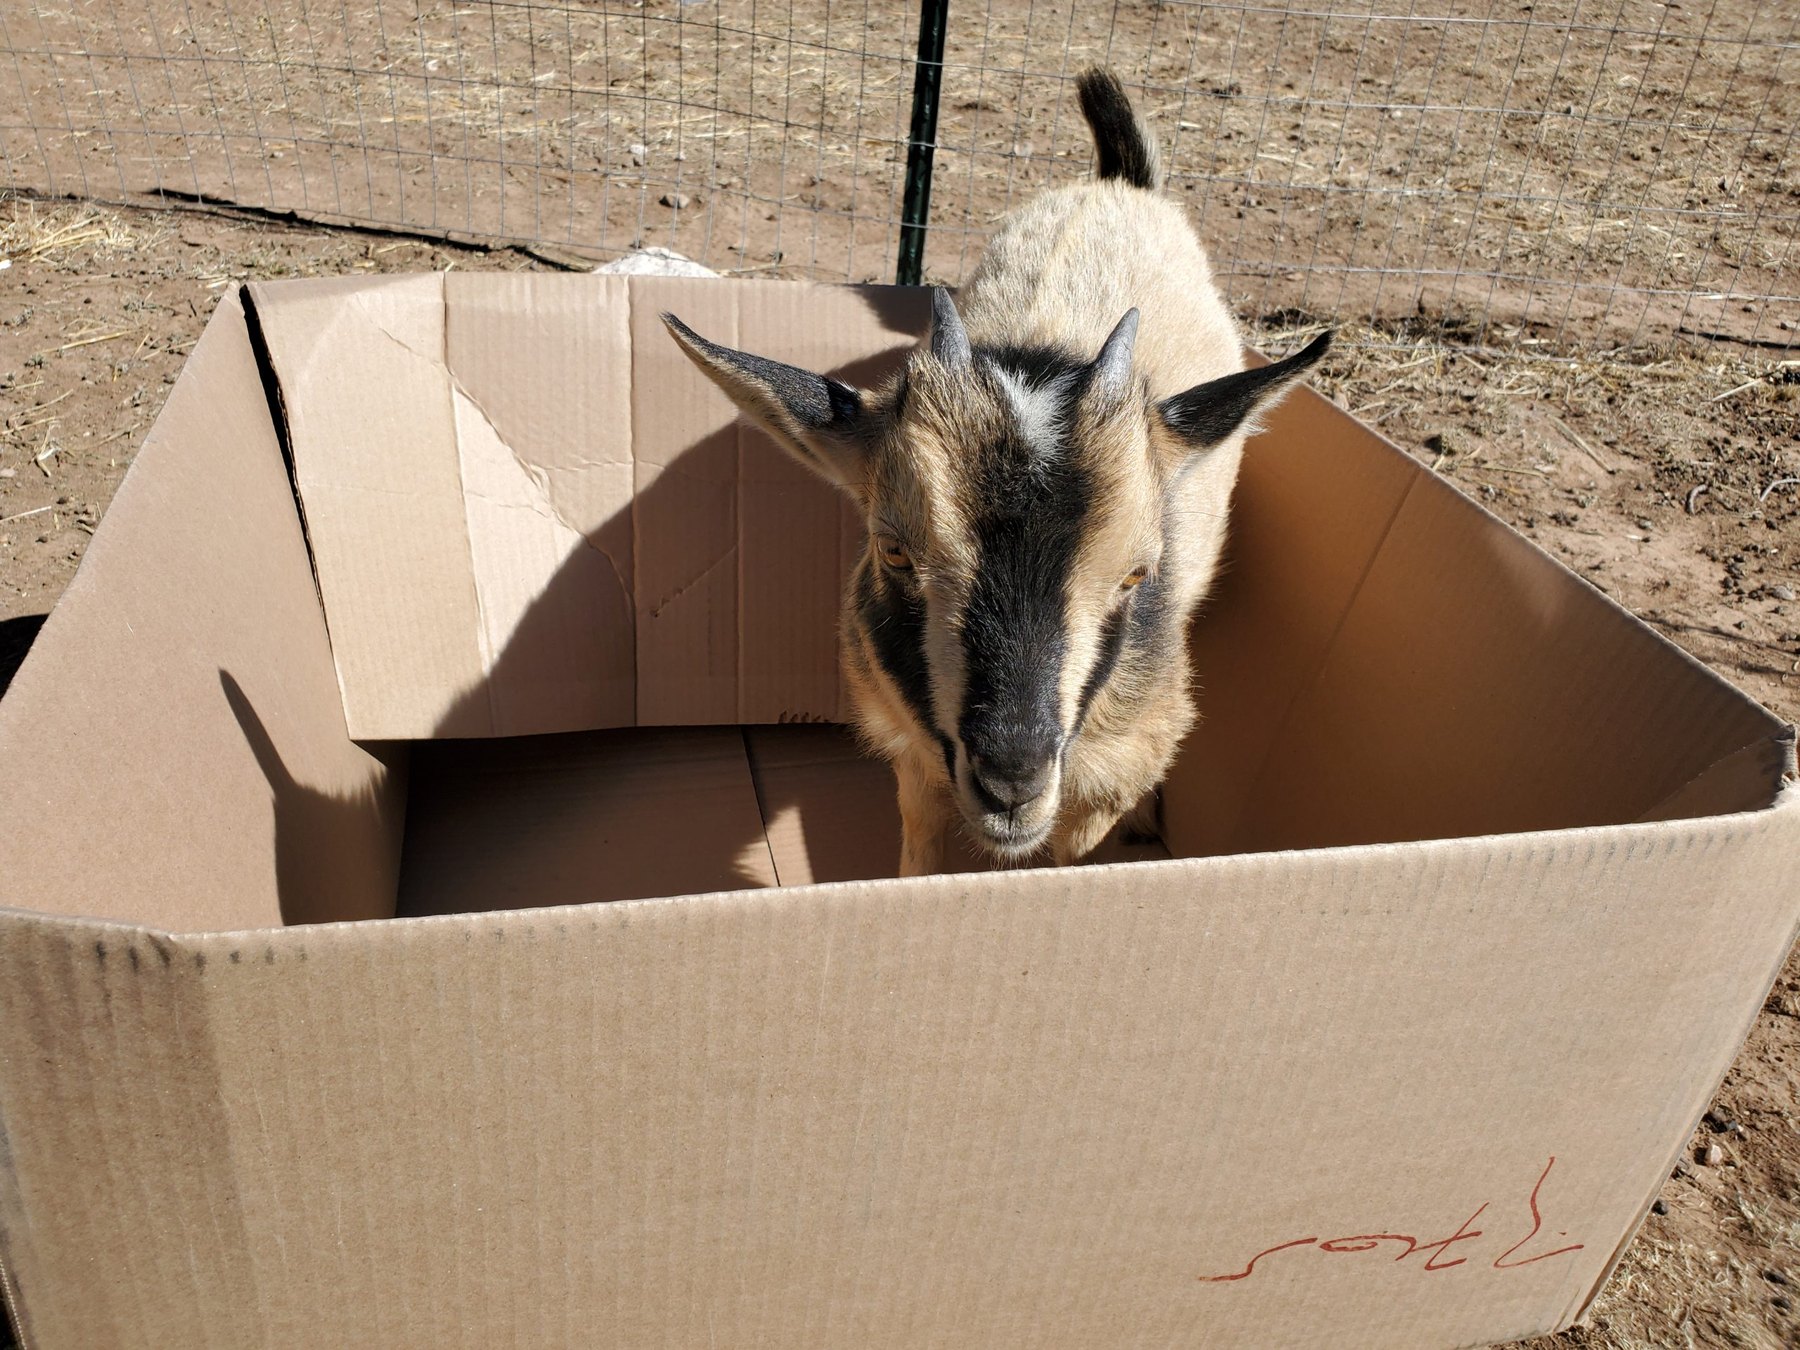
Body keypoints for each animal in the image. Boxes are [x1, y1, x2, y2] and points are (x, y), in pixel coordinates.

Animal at [662, 68, 1331, 877]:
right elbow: (919, 841)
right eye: (894, 550)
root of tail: (1119, 184)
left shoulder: (1118, 761)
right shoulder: (911, 749)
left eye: (1137, 574)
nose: (1012, 782)